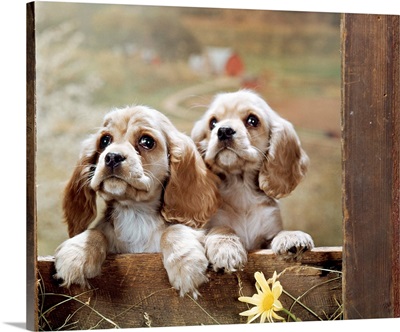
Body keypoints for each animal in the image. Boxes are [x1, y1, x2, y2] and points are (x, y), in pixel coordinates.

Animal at [53, 105, 219, 296]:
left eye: (147, 141)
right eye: (104, 140)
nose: (112, 157)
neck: (135, 212)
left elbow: (173, 230)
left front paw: (186, 265)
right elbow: (95, 232)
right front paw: (75, 256)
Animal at [192, 89, 314, 272]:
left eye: (252, 120)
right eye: (212, 123)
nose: (223, 131)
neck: (241, 188)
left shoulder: (266, 236)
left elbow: (276, 234)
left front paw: (291, 237)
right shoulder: (210, 225)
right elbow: (221, 228)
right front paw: (226, 248)